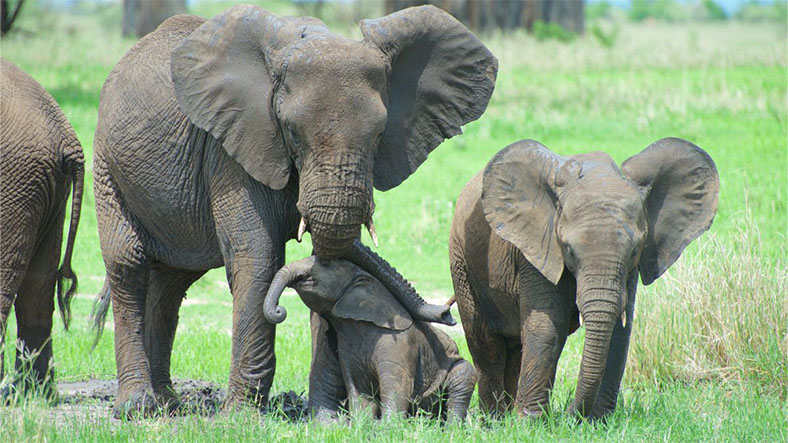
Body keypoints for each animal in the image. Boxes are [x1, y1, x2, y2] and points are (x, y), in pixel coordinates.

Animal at [264, 256, 474, 424]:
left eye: (325, 263)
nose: (279, 310)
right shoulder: (347, 349)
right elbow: (358, 389)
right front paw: (362, 426)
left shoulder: (399, 343)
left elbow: (397, 385)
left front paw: (387, 428)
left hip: (458, 368)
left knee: (463, 380)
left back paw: (450, 429)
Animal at [446, 138, 716, 420]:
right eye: (568, 249)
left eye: (634, 250)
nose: (570, 415)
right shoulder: (537, 249)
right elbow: (547, 324)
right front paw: (531, 422)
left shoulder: (630, 270)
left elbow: (620, 332)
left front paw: (599, 420)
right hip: (462, 261)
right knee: (486, 344)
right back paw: (495, 419)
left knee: (515, 346)